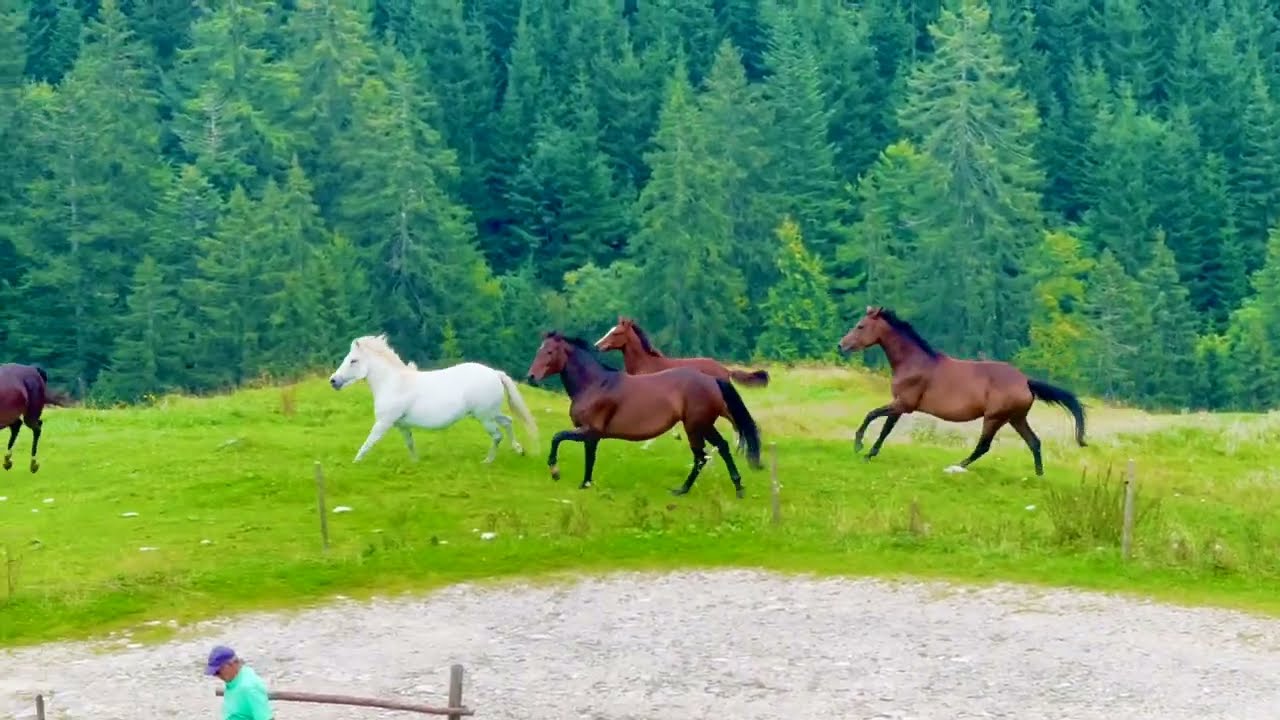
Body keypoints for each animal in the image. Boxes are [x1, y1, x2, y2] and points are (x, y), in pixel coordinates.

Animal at [329, 334, 539, 464]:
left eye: (353, 360)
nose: (333, 381)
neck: (393, 383)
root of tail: (495, 373)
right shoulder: (402, 425)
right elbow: (410, 444)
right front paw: (416, 463)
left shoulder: (383, 422)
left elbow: (368, 443)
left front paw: (355, 463)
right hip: (490, 413)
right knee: (508, 422)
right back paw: (519, 449)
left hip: (485, 417)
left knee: (497, 435)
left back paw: (488, 461)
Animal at [526, 331, 763, 498]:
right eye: (538, 350)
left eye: (549, 352)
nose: (531, 377)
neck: (594, 385)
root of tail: (714, 380)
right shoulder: (591, 435)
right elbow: (589, 458)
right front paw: (585, 484)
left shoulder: (588, 430)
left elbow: (557, 437)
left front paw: (555, 470)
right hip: (703, 425)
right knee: (719, 448)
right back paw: (737, 486)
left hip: (695, 426)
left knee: (701, 456)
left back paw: (683, 490)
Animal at [593, 316, 769, 450]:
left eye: (616, 332)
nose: (597, 345)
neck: (646, 364)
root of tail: (725, 370)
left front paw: (649, 443)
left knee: (734, 418)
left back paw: (740, 444)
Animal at [836, 306, 1087, 475]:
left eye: (860, 326)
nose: (841, 345)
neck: (913, 362)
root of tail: (1025, 381)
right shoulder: (899, 404)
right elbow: (885, 427)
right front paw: (868, 452)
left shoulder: (903, 404)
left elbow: (873, 416)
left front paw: (860, 447)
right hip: (1015, 418)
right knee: (1034, 442)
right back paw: (1039, 475)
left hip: (995, 418)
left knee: (983, 446)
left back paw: (957, 465)